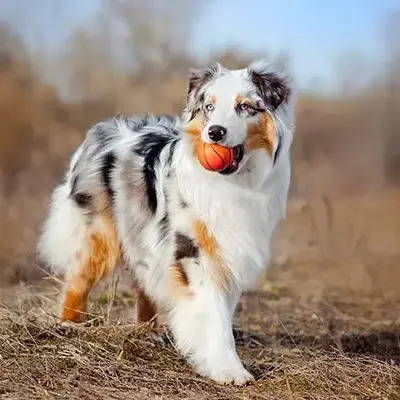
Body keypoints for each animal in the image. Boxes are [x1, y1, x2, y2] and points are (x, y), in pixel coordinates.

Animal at [38, 61, 294, 384]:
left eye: (245, 106)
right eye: (209, 107)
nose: (215, 133)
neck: (234, 182)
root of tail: (101, 129)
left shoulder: (228, 252)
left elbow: (222, 310)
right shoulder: (193, 251)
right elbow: (214, 315)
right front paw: (228, 370)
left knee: (142, 282)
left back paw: (149, 331)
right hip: (99, 234)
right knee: (78, 280)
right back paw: (69, 325)